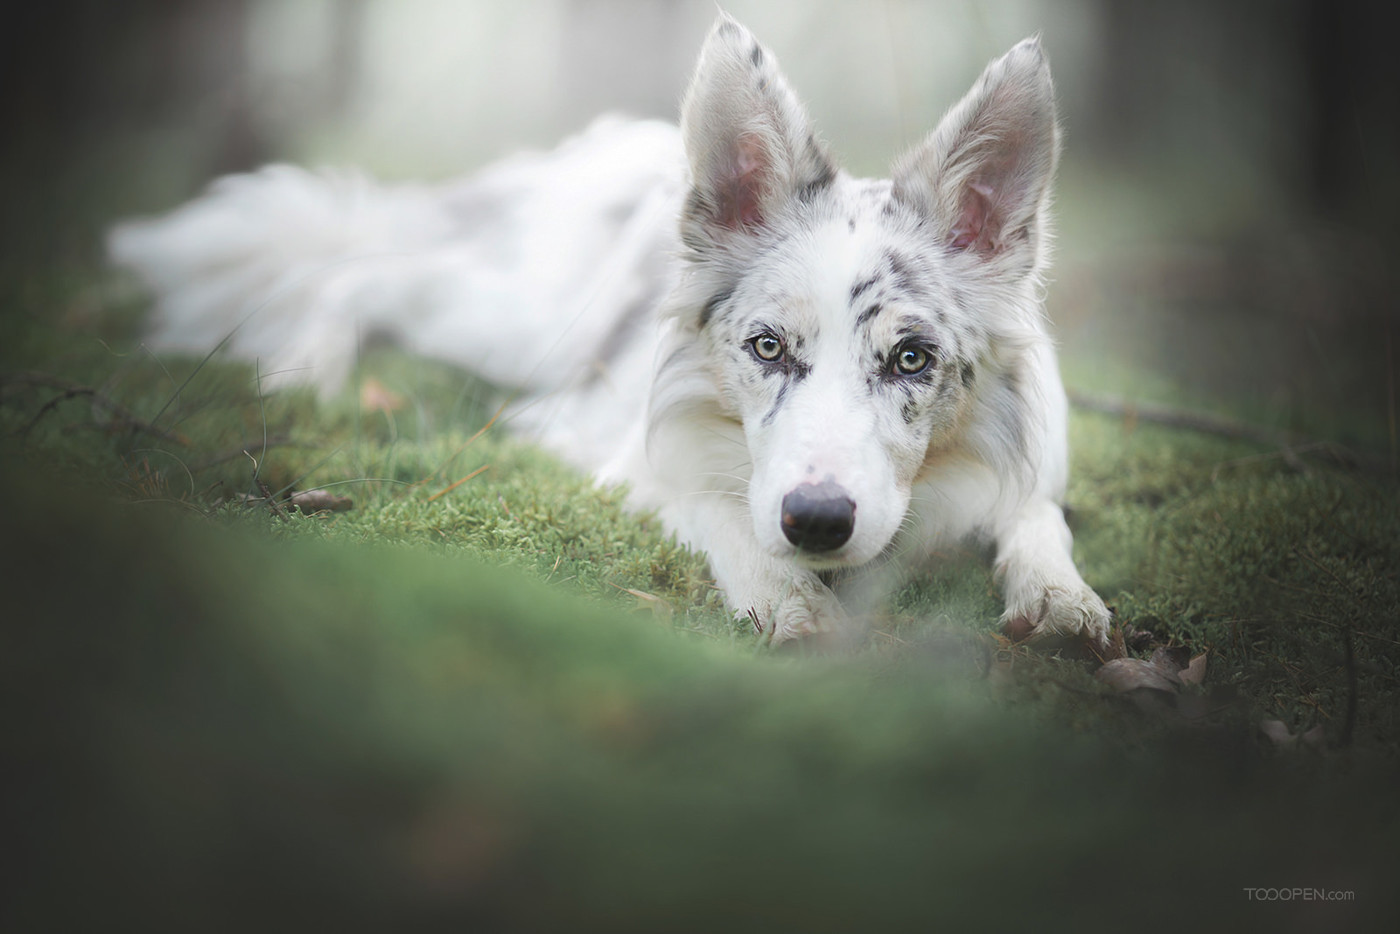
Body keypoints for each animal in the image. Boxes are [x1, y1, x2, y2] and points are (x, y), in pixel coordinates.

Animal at [109, 14, 1108, 646]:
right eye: (767, 347)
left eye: (911, 359)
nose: (818, 522)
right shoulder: (635, 455)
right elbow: (724, 515)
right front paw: (789, 603)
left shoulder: (1027, 465)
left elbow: (1037, 520)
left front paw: (1063, 598)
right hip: (513, 318)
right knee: (357, 269)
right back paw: (297, 370)